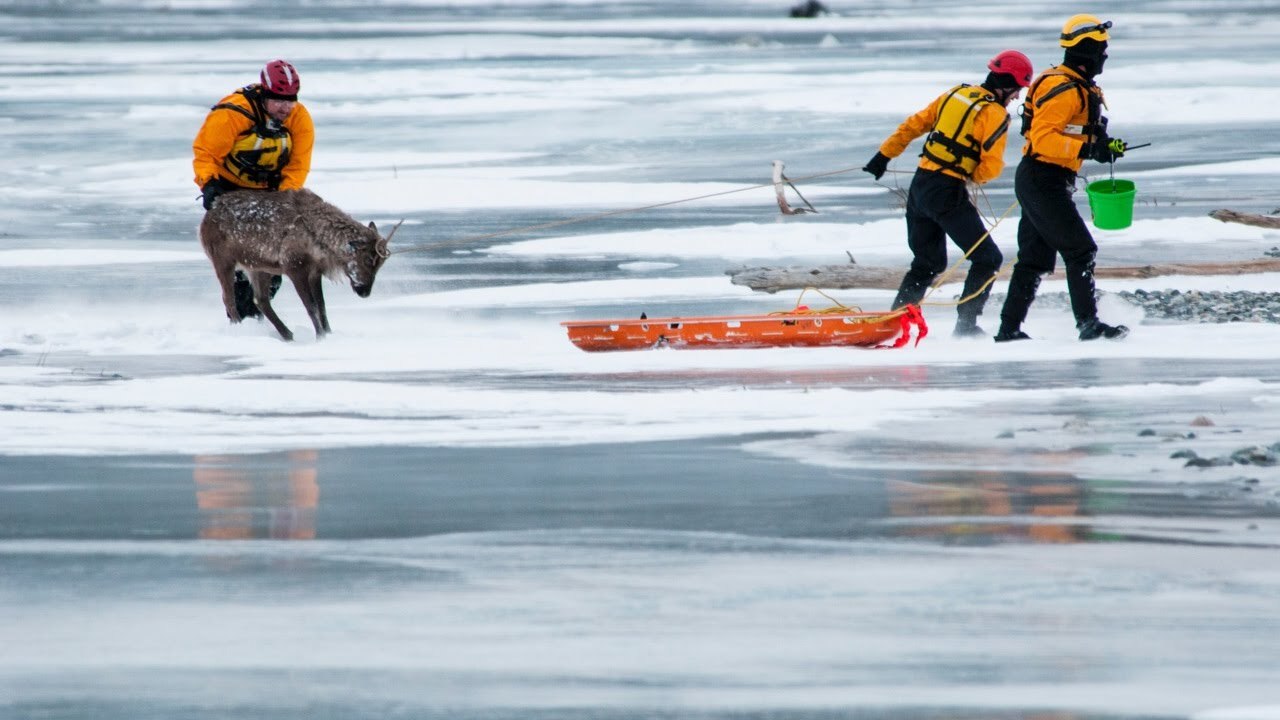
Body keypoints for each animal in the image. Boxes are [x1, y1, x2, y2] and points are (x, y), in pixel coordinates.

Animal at [199, 189, 398, 341]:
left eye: (380, 264)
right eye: (367, 259)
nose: (364, 291)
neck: (318, 243)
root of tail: (204, 220)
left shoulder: (315, 271)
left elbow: (322, 305)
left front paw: (328, 333)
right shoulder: (293, 267)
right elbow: (311, 306)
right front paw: (320, 336)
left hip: (257, 267)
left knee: (260, 300)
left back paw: (287, 334)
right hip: (222, 259)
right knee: (229, 298)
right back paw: (239, 329)